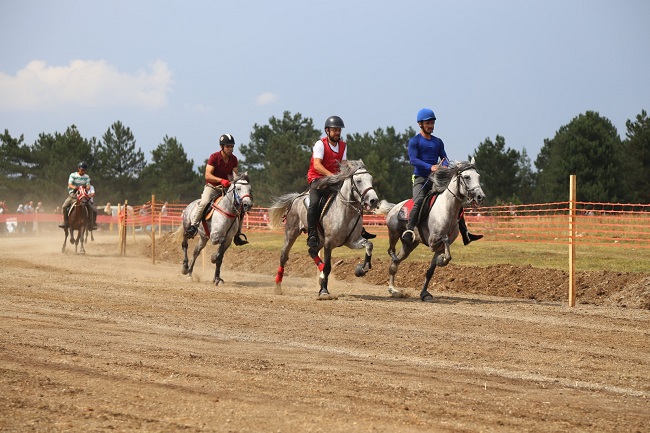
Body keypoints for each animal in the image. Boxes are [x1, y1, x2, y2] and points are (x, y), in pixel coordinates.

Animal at [268, 160, 380, 298]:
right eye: (359, 181)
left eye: (371, 179)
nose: (374, 200)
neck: (346, 212)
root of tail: (296, 198)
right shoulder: (329, 243)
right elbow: (328, 267)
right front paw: (324, 290)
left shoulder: (353, 241)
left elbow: (369, 245)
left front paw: (362, 269)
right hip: (291, 233)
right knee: (284, 256)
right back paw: (278, 286)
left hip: (319, 239)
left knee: (312, 251)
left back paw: (320, 274)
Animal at [374, 158, 480, 300]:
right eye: (467, 177)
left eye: (478, 177)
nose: (480, 196)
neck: (447, 209)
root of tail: (394, 207)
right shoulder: (432, 241)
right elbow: (444, 239)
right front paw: (442, 260)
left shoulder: (439, 247)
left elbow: (431, 271)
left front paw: (424, 294)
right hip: (394, 233)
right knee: (392, 253)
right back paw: (392, 288)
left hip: (409, 245)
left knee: (395, 263)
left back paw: (394, 289)